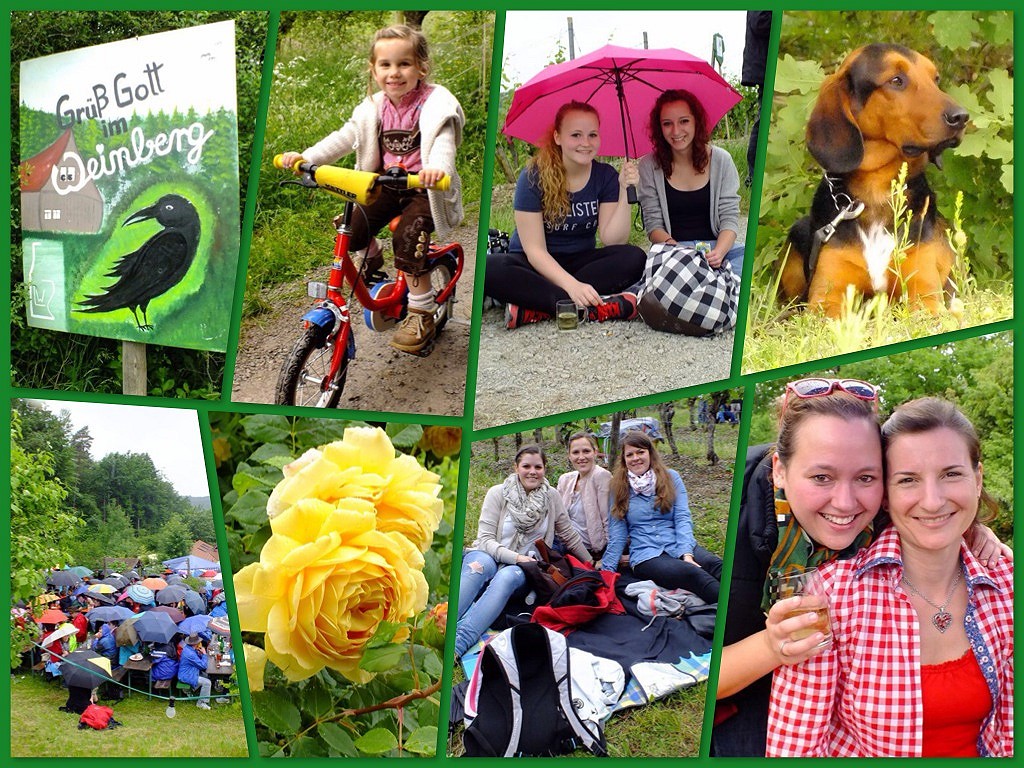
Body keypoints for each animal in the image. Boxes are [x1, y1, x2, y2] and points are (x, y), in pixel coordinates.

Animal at [782, 43, 966, 315]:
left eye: (936, 79)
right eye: (896, 80)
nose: (962, 117)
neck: (878, 189)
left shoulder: (924, 293)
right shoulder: (826, 298)